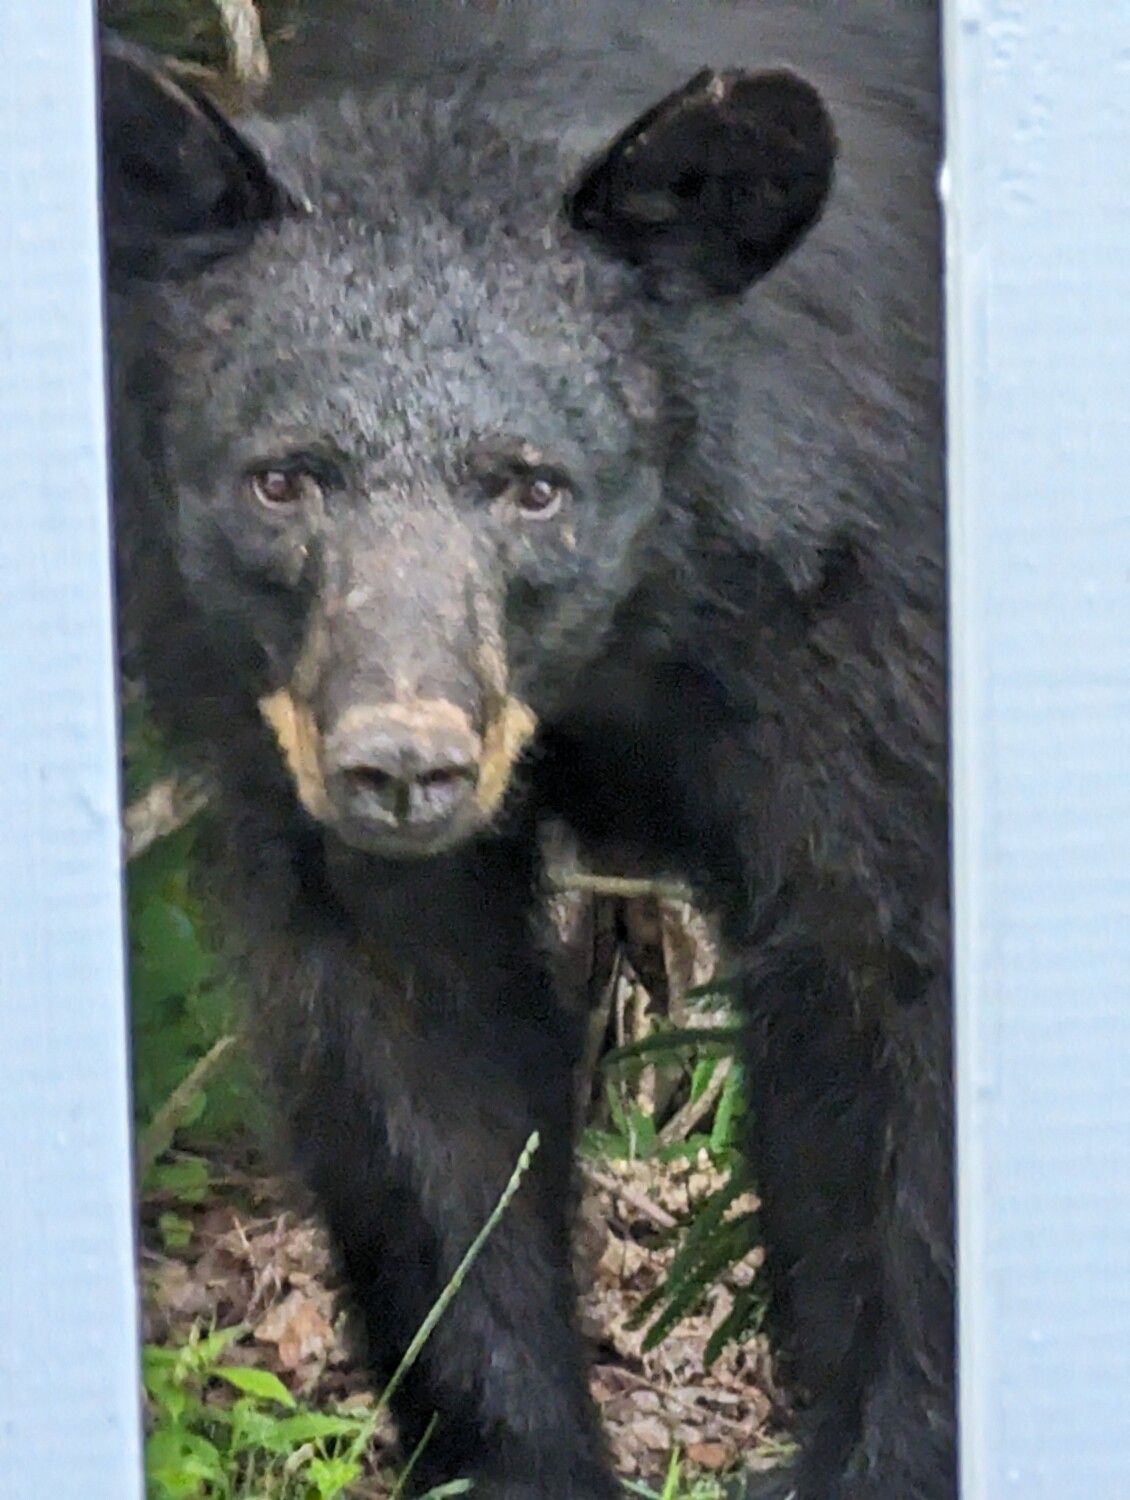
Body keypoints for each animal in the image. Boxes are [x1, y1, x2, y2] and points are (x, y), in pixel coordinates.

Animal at [100, 5, 952, 1498]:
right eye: (282, 477)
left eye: (533, 484)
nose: (398, 763)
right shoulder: (277, 741)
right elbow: (416, 1069)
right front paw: (510, 1449)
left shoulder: (868, 643)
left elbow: (889, 1035)